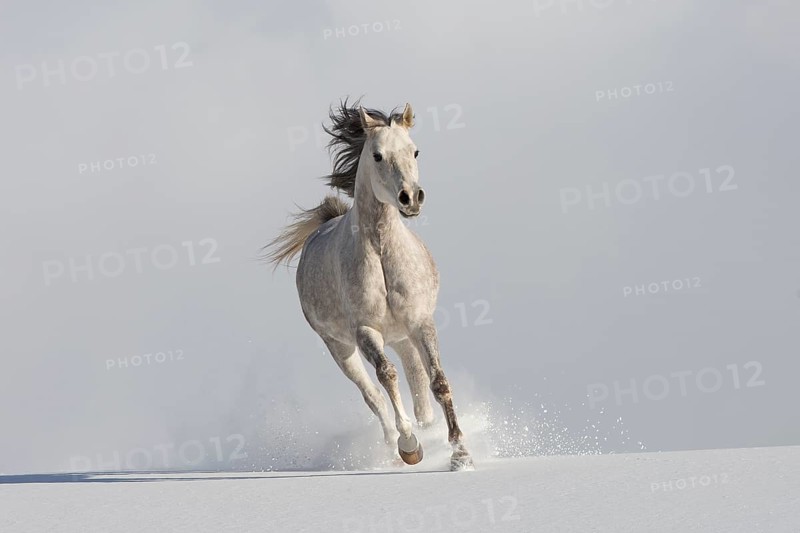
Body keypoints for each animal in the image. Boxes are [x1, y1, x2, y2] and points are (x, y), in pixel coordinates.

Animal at [265, 99, 473, 471]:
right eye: (377, 155)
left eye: (414, 151)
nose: (410, 198)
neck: (381, 251)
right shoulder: (364, 331)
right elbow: (386, 376)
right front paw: (410, 447)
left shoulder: (421, 322)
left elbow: (438, 381)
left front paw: (460, 455)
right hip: (341, 347)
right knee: (373, 395)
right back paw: (395, 449)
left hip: (402, 336)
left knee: (416, 381)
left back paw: (428, 428)